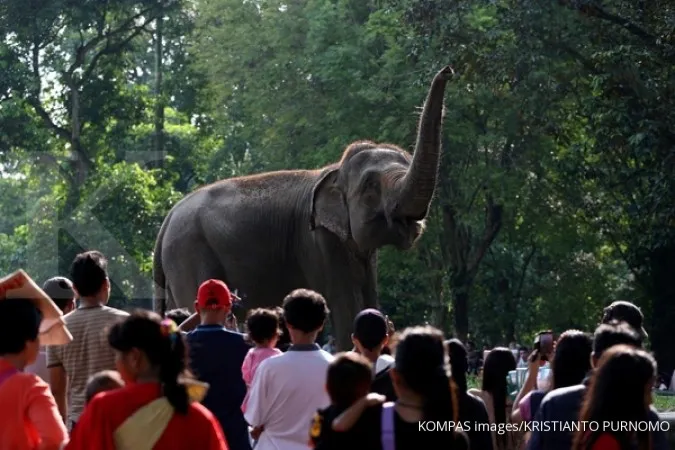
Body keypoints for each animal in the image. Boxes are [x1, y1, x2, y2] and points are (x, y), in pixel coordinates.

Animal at [154, 65, 454, 350]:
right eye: (370, 187)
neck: (334, 169)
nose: (447, 70)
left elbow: (369, 295)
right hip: (189, 252)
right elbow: (345, 302)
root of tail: (168, 219)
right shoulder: (318, 241)